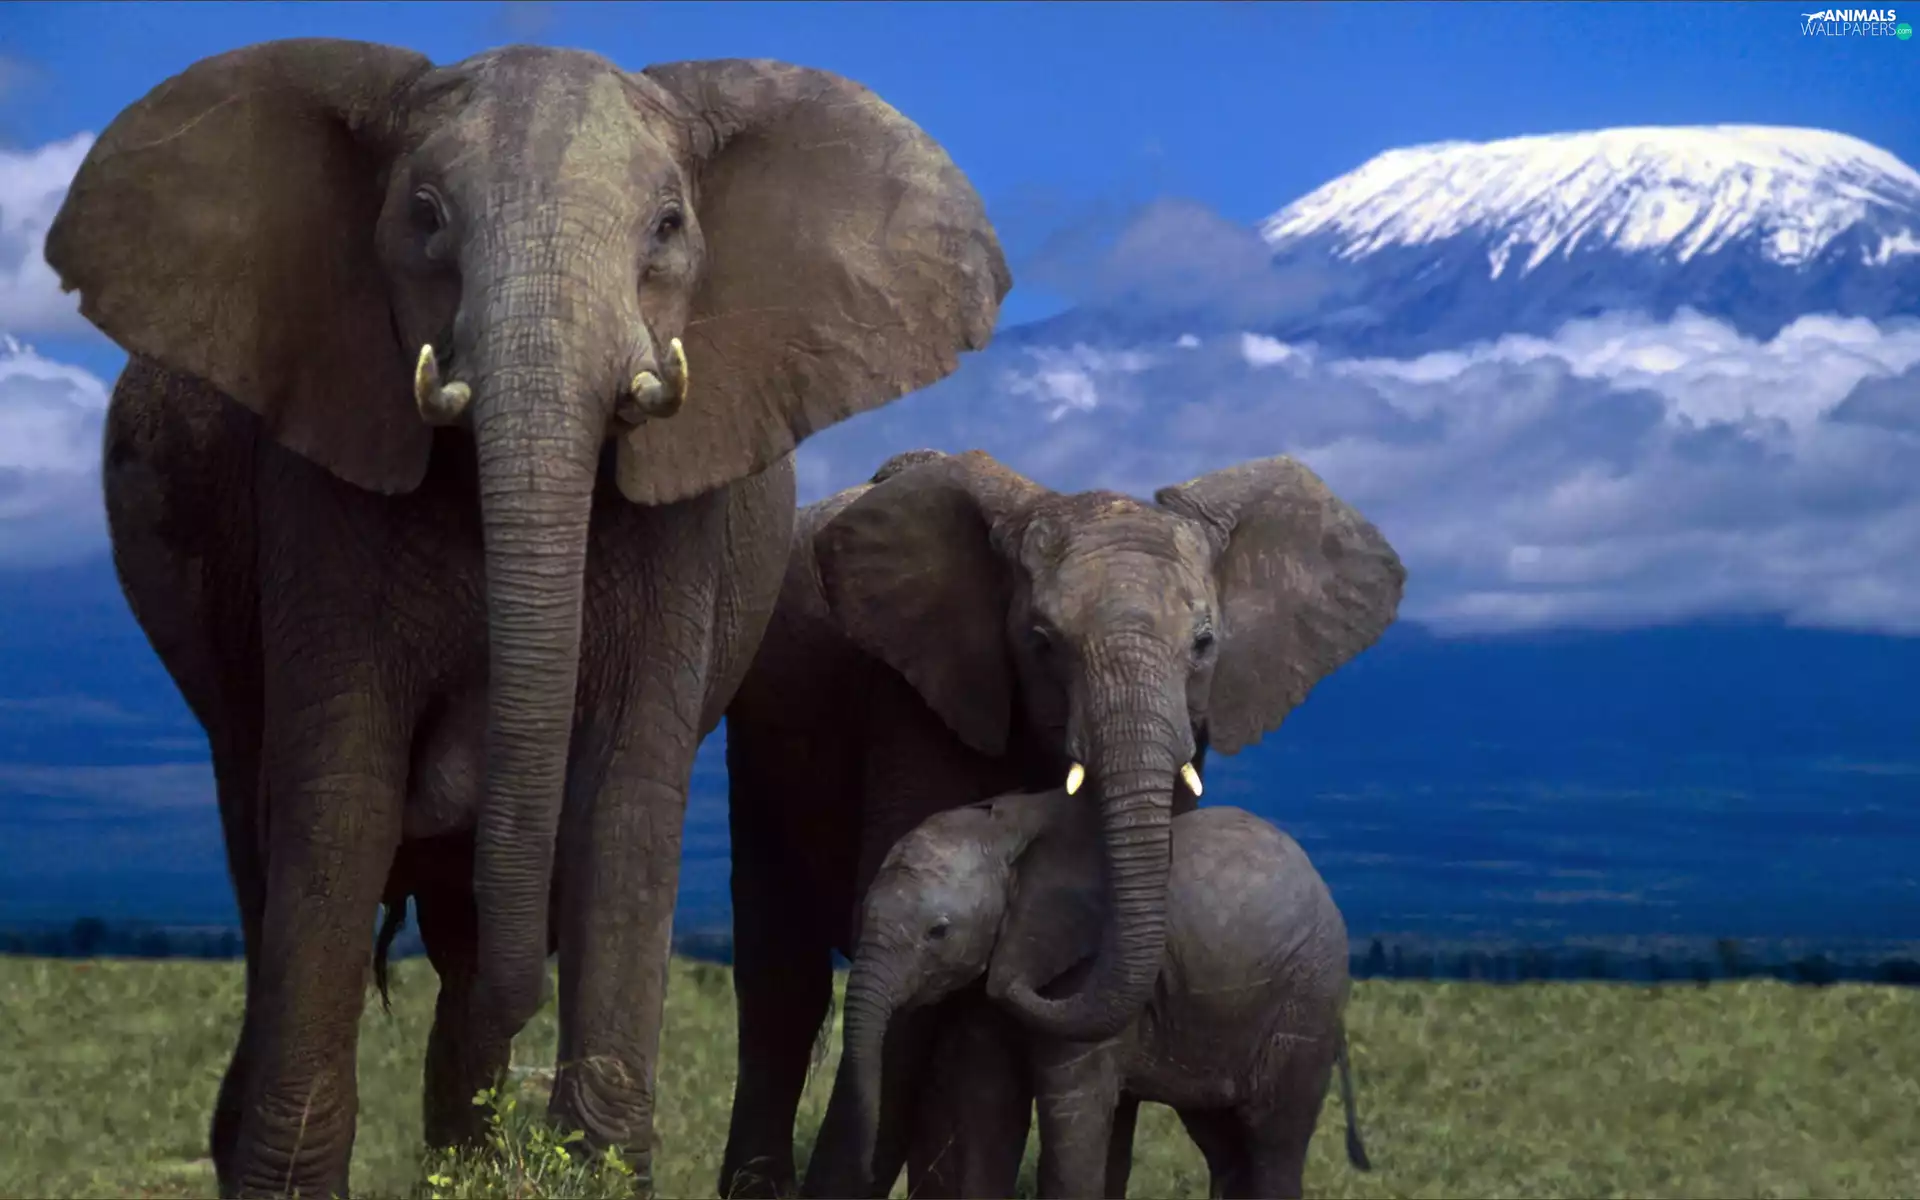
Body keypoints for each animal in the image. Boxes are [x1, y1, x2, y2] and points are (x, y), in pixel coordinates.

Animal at [45, 38, 1007, 1198]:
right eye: (423, 215)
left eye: (668, 226)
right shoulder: (321, 476)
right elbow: (341, 791)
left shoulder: (684, 519)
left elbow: (624, 799)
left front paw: (584, 1163)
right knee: (265, 847)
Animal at [814, 788, 1373, 1200]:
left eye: (938, 931)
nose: (865, 1167)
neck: (1002, 829)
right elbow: (988, 1103)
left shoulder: (1079, 968)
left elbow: (1074, 1114)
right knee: (1224, 1142)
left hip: (1305, 1002)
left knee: (1273, 1139)